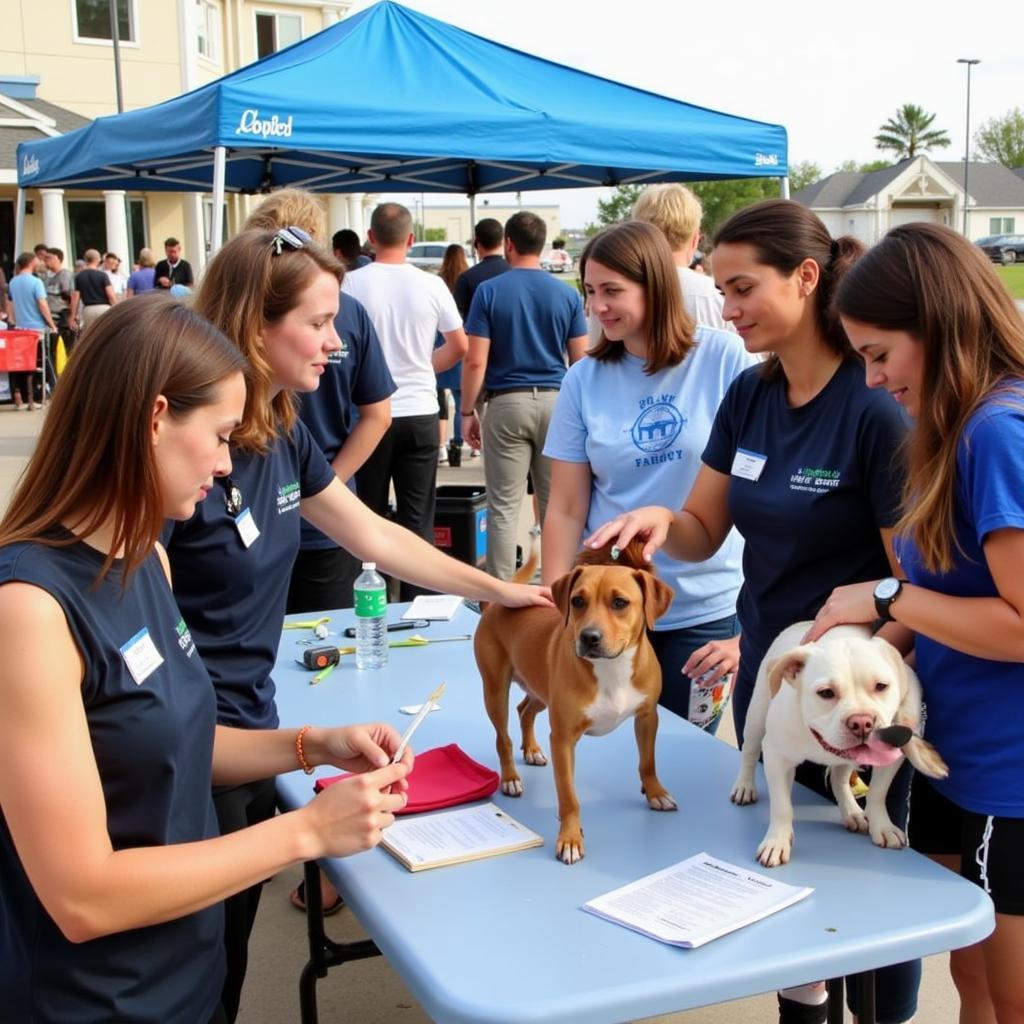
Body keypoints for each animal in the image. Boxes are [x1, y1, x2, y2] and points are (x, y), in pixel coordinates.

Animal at [475, 540, 675, 860]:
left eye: (620, 603)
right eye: (578, 600)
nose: (589, 637)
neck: (611, 669)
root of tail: (500, 601)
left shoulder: (647, 718)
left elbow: (648, 762)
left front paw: (655, 792)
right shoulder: (564, 738)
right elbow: (569, 795)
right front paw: (569, 838)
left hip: (540, 689)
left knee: (525, 710)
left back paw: (531, 750)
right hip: (495, 691)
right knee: (503, 737)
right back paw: (510, 777)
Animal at [733, 618, 946, 868]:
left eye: (881, 686)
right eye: (826, 693)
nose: (862, 722)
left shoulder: (892, 755)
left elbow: (877, 794)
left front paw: (882, 826)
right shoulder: (777, 756)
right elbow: (781, 806)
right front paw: (777, 842)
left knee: (839, 779)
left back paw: (852, 811)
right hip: (756, 716)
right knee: (749, 751)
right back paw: (744, 787)